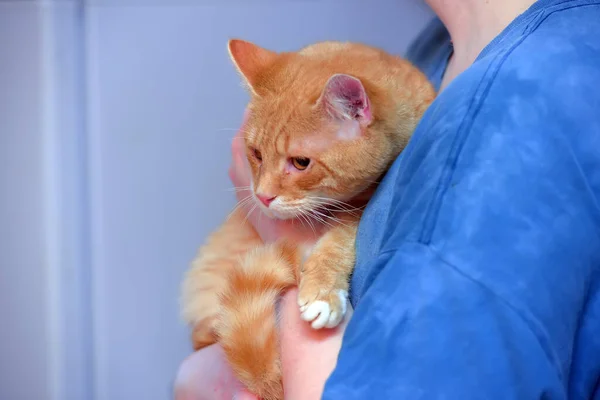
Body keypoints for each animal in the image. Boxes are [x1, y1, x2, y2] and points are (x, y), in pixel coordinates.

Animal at [180, 38, 434, 400]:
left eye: (301, 163)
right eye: (256, 154)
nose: (262, 197)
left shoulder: (356, 210)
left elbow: (340, 237)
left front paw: (323, 290)